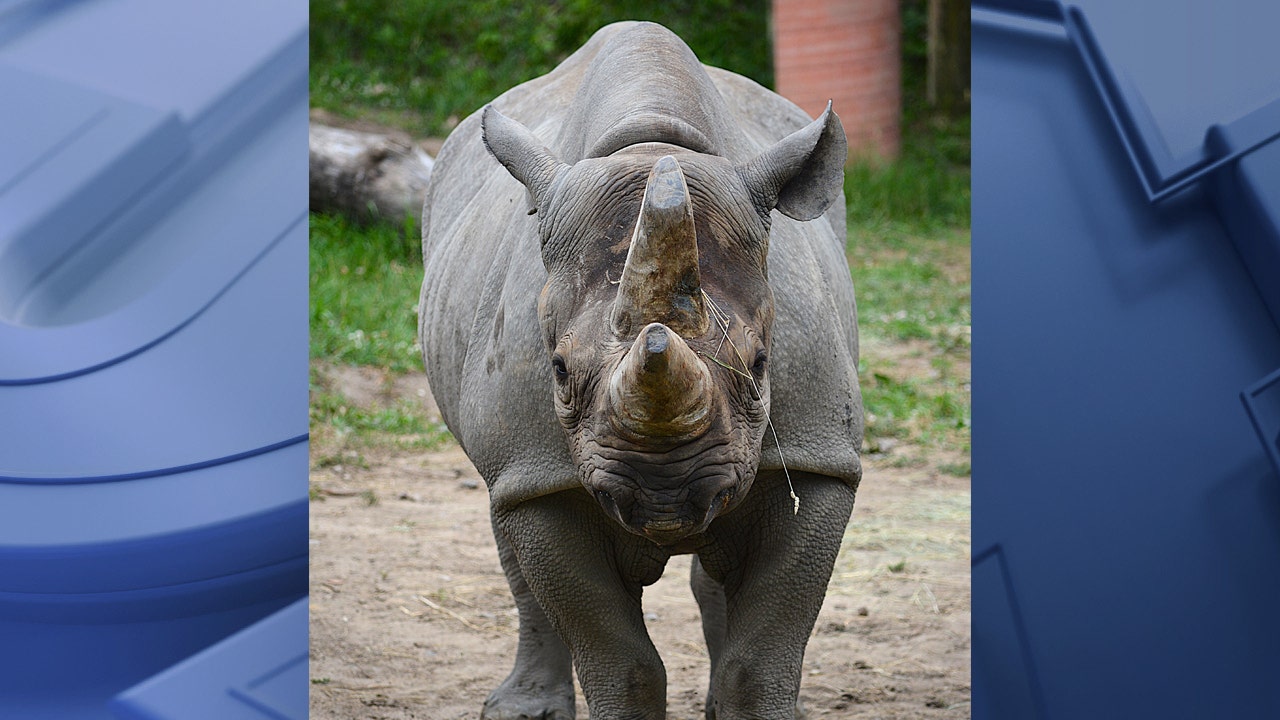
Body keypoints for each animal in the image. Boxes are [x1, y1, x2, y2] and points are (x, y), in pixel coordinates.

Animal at [418, 21, 863, 719]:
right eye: (558, 370)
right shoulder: (542, 474)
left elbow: (759, 660)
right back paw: (524, 708)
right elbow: (622, 661)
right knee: (502, 511)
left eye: (763, 364)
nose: (666, 495)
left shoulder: (820, 455)